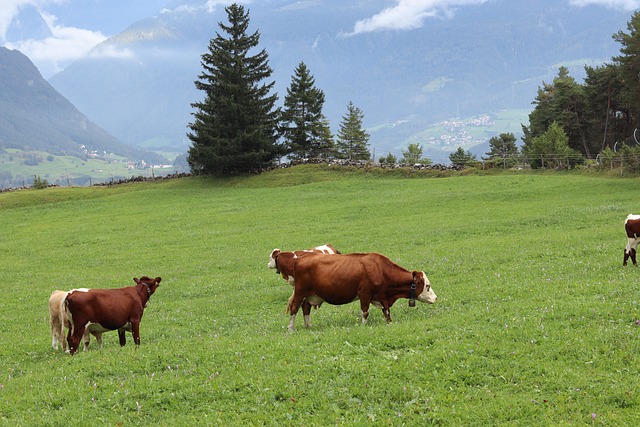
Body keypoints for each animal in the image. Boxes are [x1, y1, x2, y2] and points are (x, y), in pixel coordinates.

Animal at [288, 252, 438, 332]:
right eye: (427, 286)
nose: (436, 298)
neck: (380, 269)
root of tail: (302, 256)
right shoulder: (364, 294)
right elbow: (365, 312)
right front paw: (363, 326)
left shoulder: (382, 298)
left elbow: (387, 312)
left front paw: (389, 323)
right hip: (300, 292)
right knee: (294, 308)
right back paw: (290, 328)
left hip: (310, 295)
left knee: (305, 308)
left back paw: (308, 326)